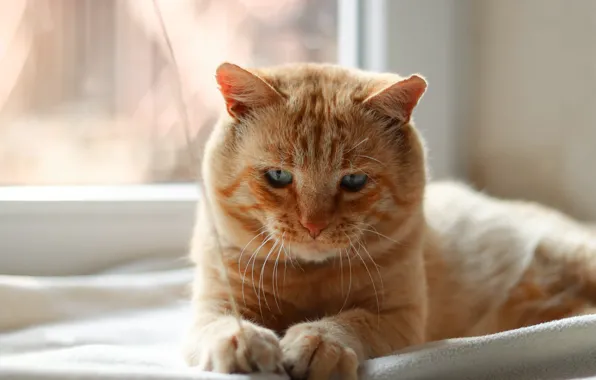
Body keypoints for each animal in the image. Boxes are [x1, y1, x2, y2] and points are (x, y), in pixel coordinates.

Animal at [183, 60, 596, 378]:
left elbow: (349, 321)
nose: (313, 226)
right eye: (279, 176)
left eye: (354, 181)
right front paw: (244, 343)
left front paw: (319, 342)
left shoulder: (396, 316)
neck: (309, 276)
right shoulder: (215, 303)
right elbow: (224, 323)